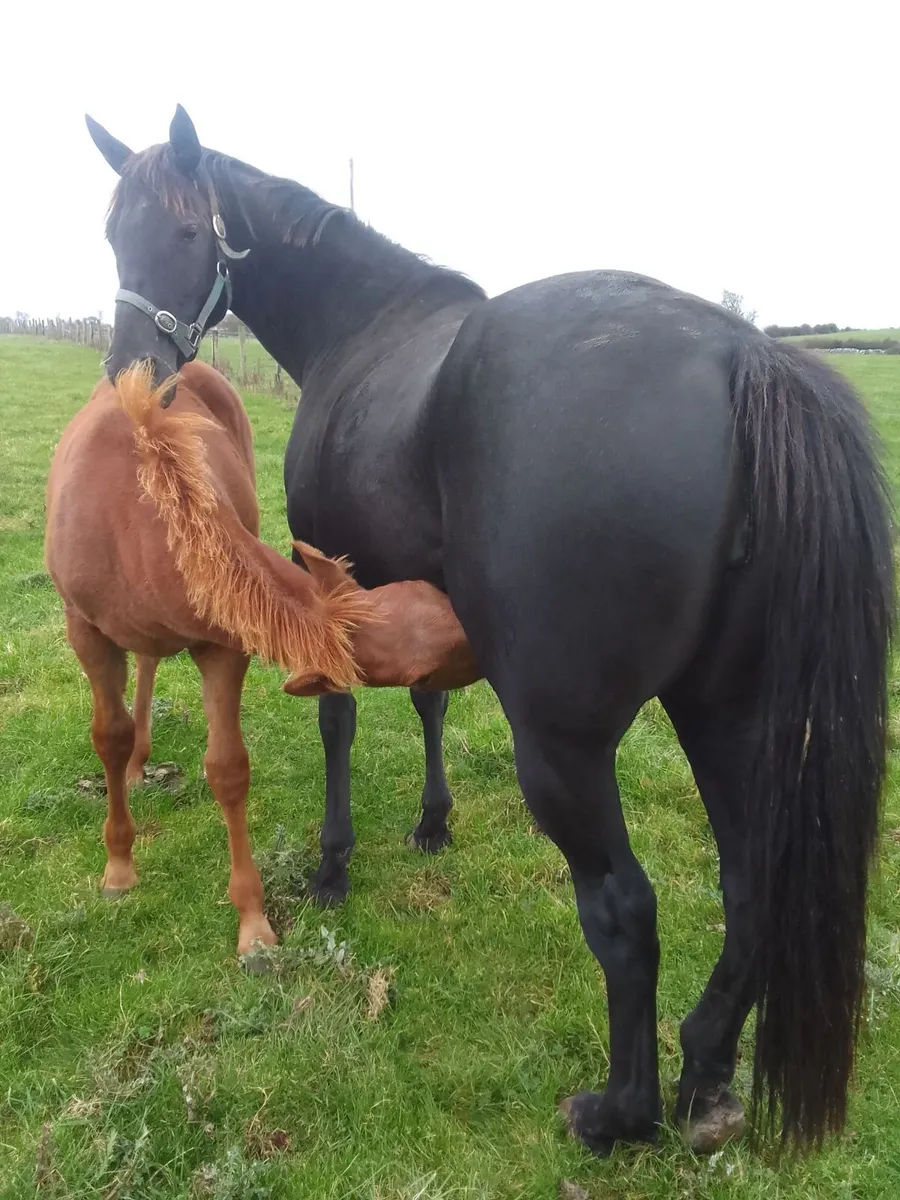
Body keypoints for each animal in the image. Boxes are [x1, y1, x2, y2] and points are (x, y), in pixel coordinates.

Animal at [45, 359, 479, 962]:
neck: (135, 521)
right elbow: (109, 736)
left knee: (150, 661)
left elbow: (228, 769)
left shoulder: (223, 644)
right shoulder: (84, 631)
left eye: (432, 595)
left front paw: (252, 923)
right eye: (426, 665)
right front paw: (119, 866)